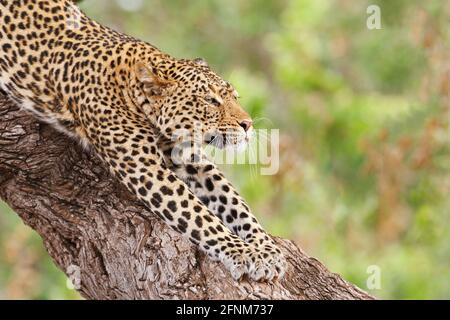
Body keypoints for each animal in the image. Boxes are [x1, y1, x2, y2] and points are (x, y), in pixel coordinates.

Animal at [0, 0, 286, 280]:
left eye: (234, 97)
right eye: (210, 100)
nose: (248, 124)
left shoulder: (190, 158)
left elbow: (236, 203)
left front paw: (266, 249)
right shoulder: (144, 166)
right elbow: (199, 216)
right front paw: (242, 252)